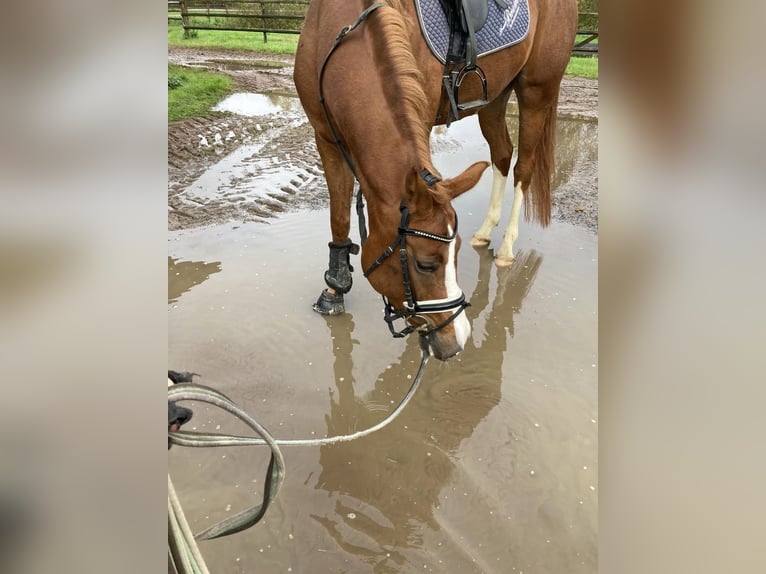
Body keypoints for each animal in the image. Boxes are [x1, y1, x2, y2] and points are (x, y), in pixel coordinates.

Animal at [294, 0, 576, 360]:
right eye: (426, 264)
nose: (457, 339)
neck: (339, 30)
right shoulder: (325, 136)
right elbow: (339, 216)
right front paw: (334, 289)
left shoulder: (423, 119)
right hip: (496, 96)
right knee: (501, 154)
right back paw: (486, 230)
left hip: (536, 91)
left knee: (522, 168)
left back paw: (506, 247)